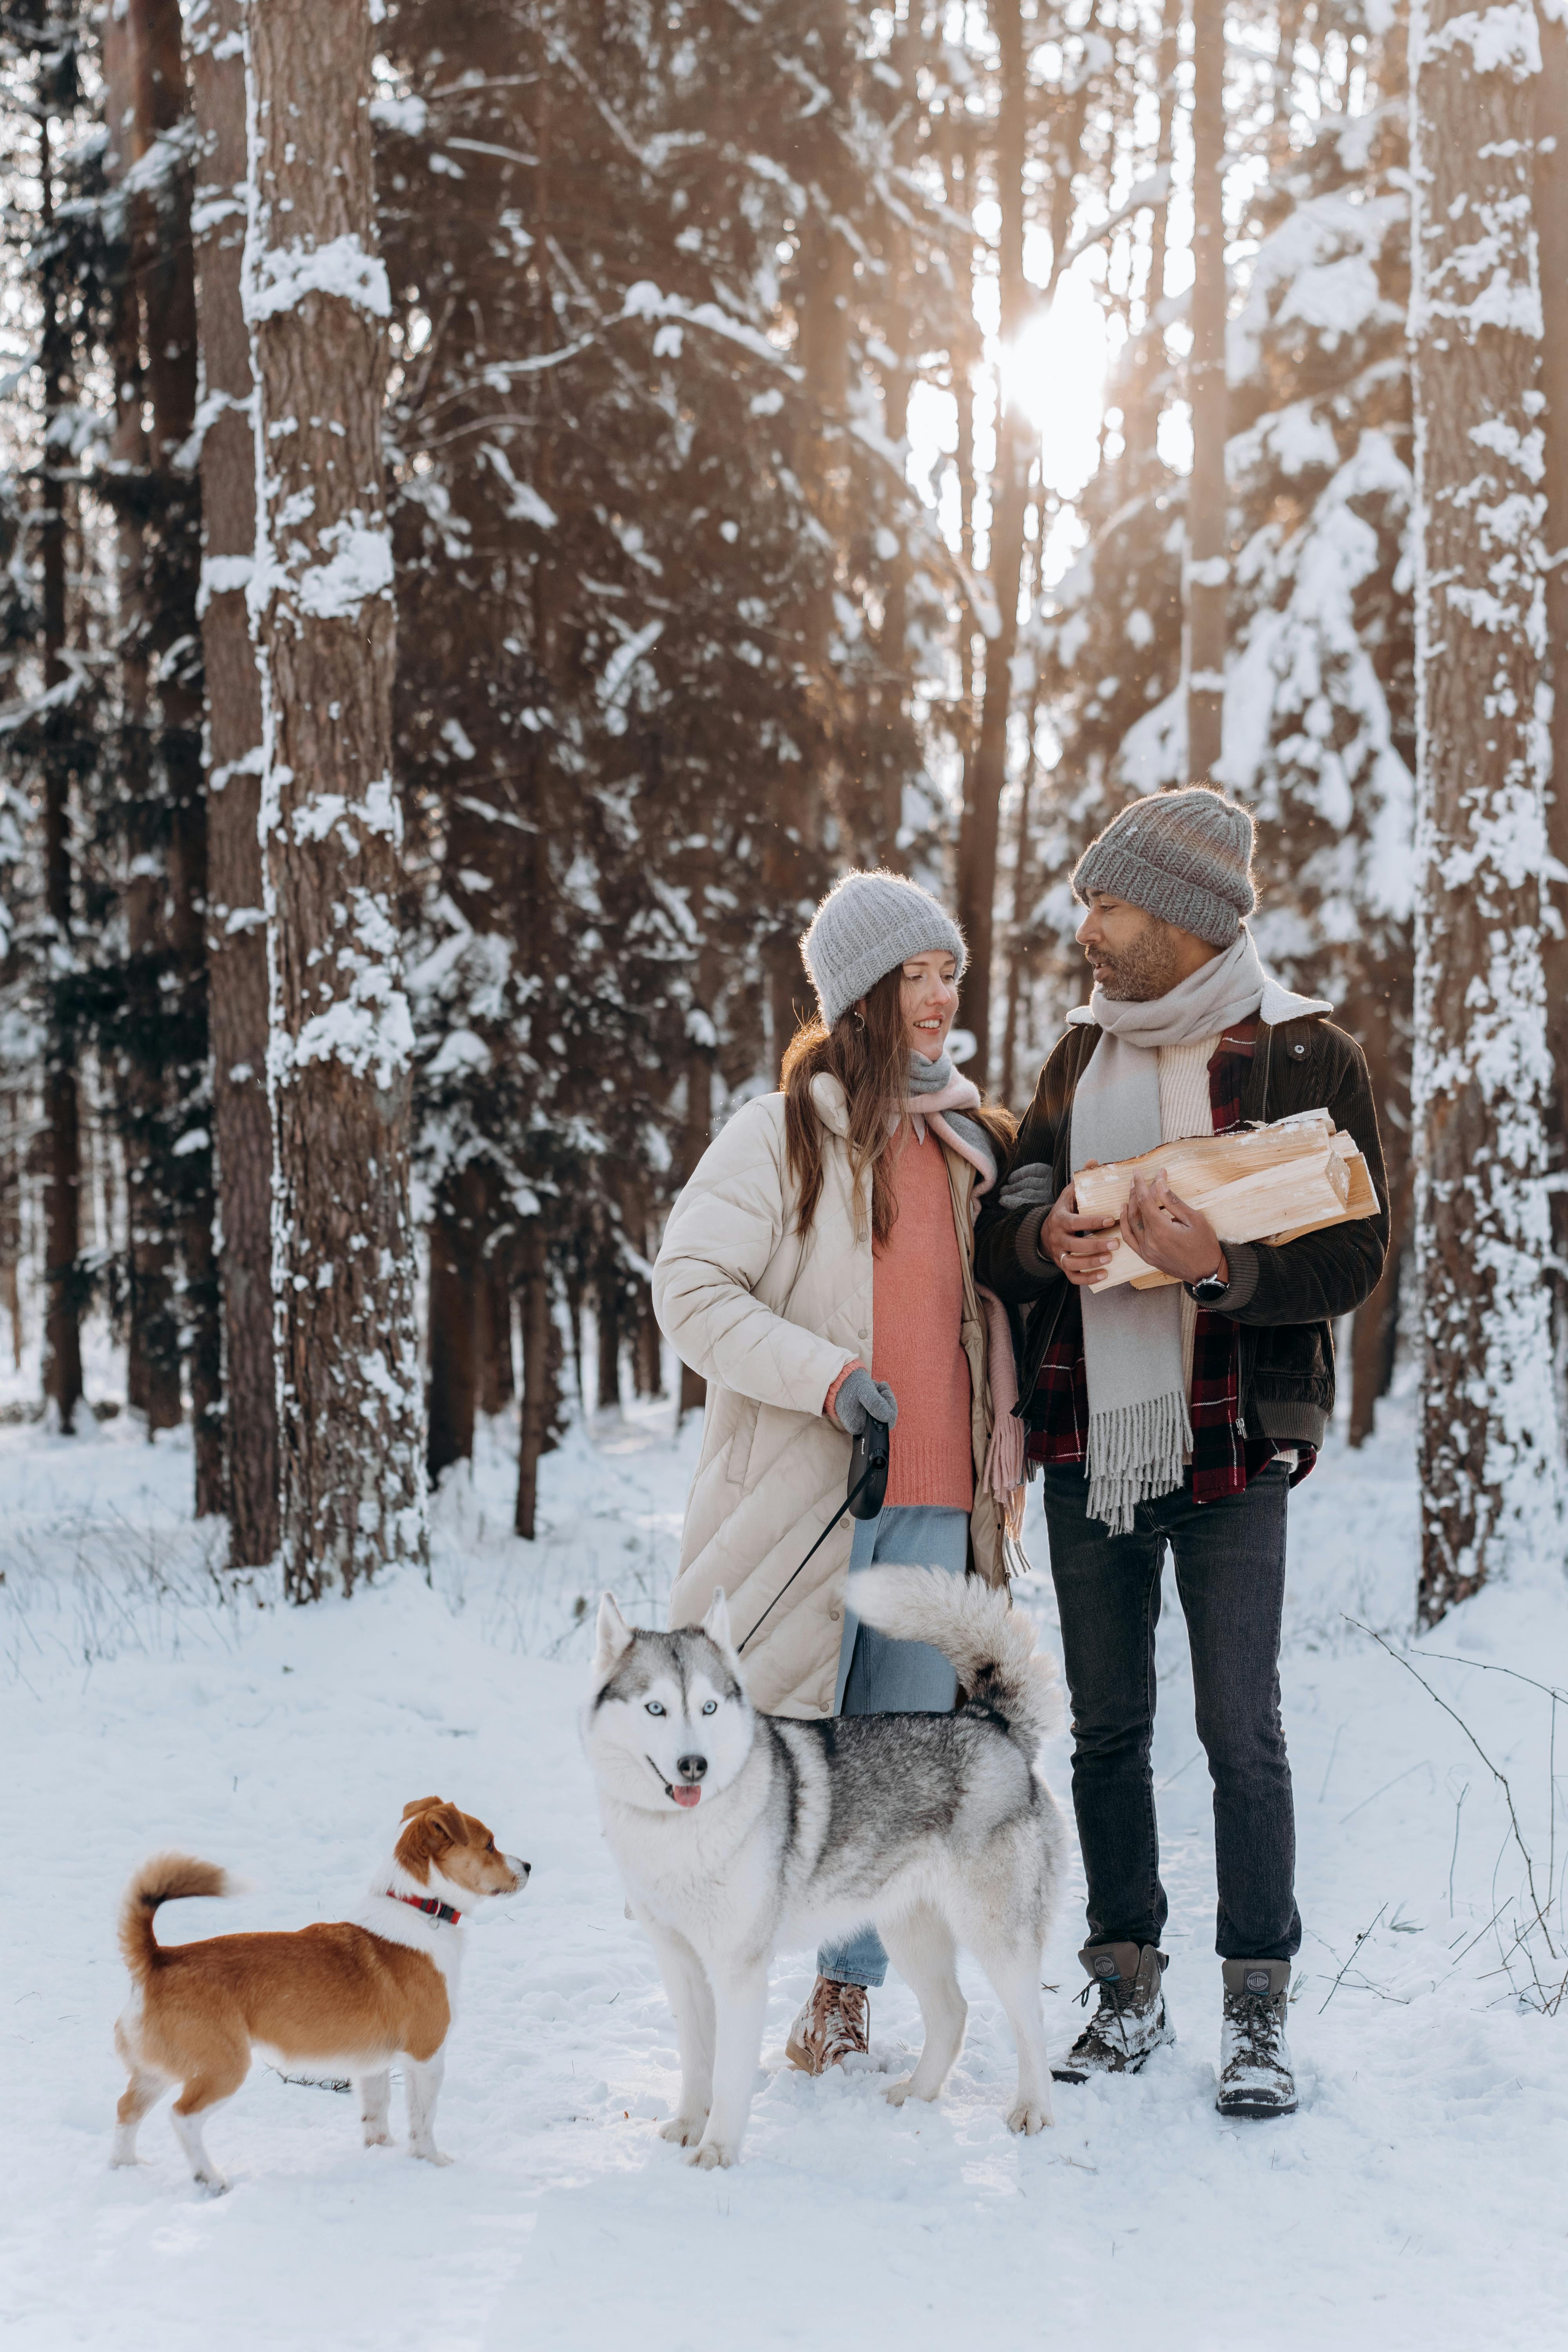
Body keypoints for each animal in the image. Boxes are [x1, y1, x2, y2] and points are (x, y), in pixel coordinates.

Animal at [111, 1788, 526, 2192]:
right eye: (490, 1844)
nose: (528, 1867)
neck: (418, 1908)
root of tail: (159, 1958)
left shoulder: (373, 2065)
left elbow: (377, 2113)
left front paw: (381, 2154)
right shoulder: (427, 2055)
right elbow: (423, 2118)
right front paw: (431, 2161)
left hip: (157, 2072)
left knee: (126, 2110)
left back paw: (125, 2167)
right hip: (222, 2068)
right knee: (182, 2117)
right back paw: (211, 2178)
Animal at [583, 1562, 1072, 2164]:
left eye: (708, 1707)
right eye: (656, 1708)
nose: (694, 1765)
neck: (683, 1837)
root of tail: (991, 1722)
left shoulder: (739, 1971)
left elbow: (728, 2075)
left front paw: (717, 2151)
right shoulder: (680, 1965)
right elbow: (698, 2063)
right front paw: (689, 2127)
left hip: (995, 1938)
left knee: (1031, 2025)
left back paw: (1032, 2110)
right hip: (908, 1935)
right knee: (952, 2014)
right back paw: (918, 2093)